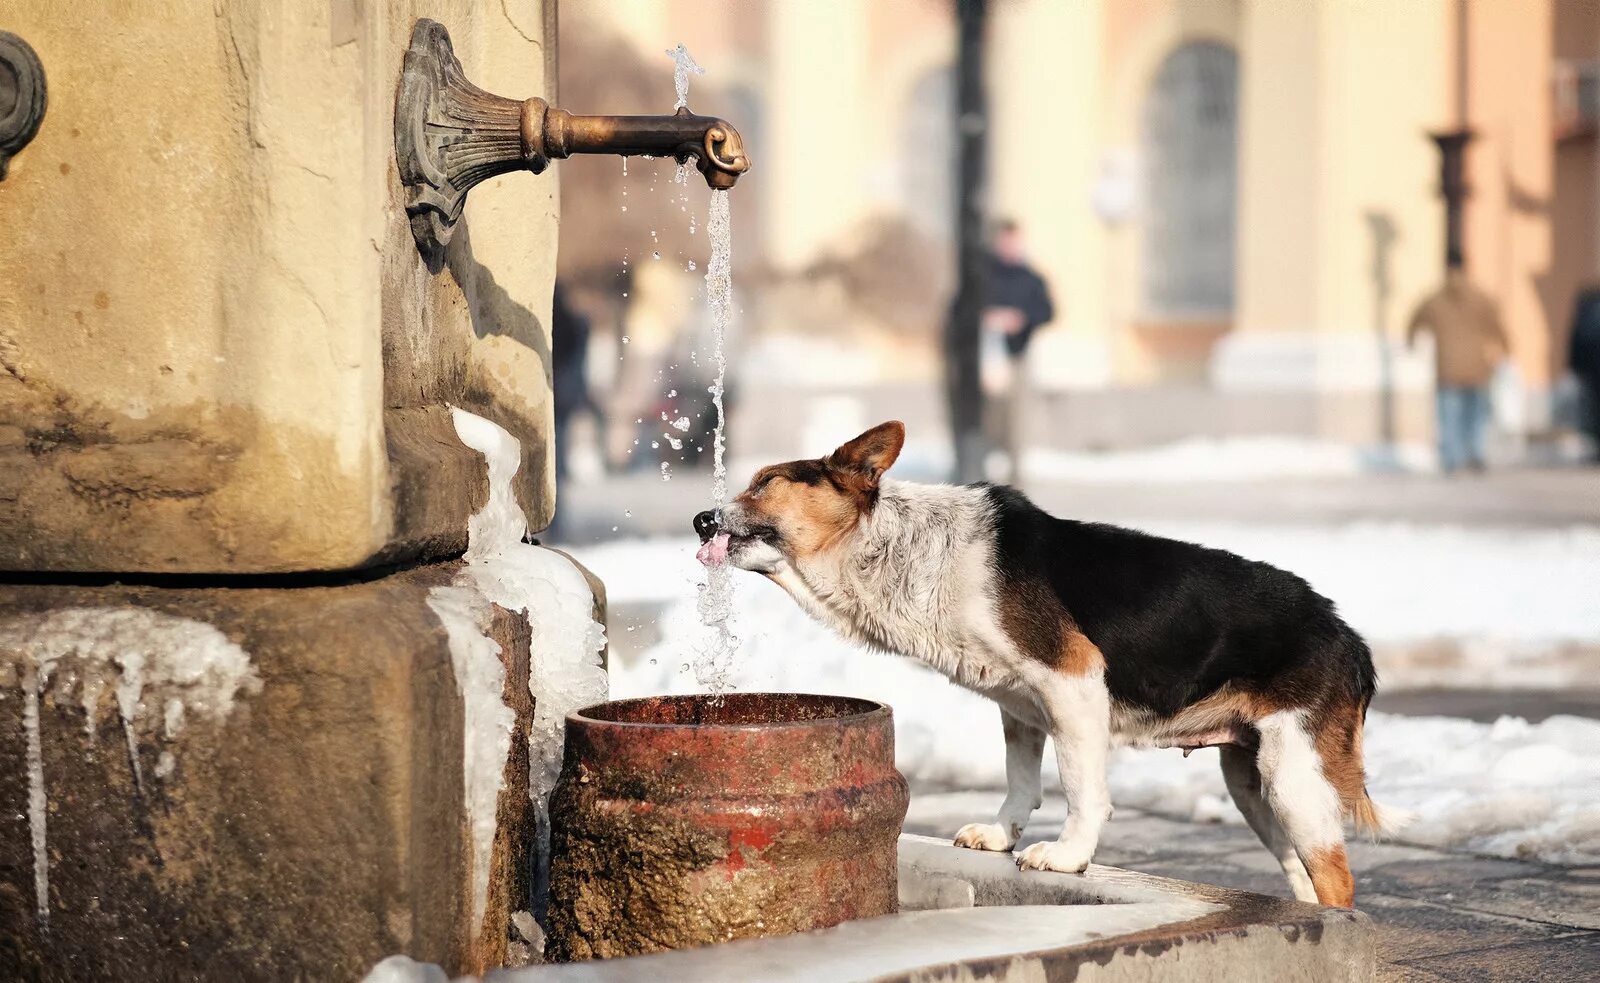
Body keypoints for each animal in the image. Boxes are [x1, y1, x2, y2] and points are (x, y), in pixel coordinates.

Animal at [694, 422, 1408, 909]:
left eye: (765, 482)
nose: (700, 518)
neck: (895, 549)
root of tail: (1348, 637)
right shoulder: (1020, 705)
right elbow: (1021, 782)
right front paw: (1001, 837)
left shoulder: (1074, 684)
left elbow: (1083, 792)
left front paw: (1067, 858)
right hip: (1254, 785)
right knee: (1307, 880)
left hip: (1293, 778)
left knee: (1338, 884)